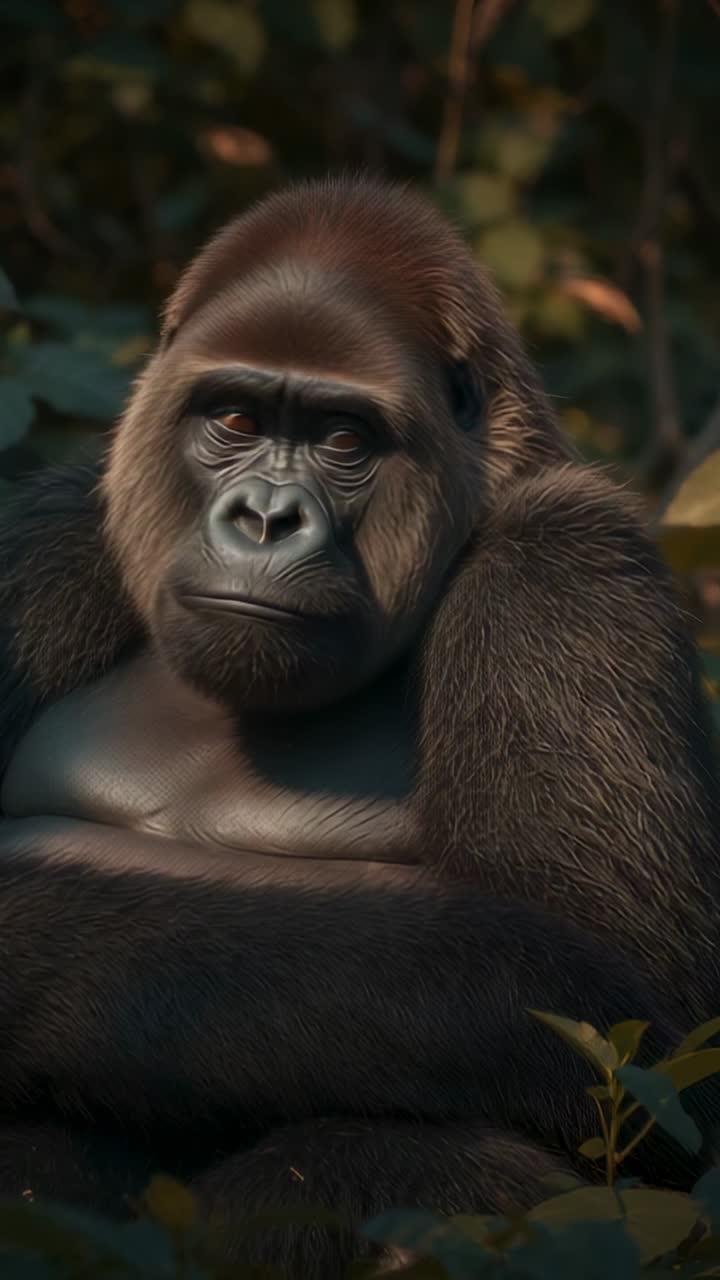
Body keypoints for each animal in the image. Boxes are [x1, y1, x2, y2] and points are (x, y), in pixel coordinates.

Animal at [0, 175, 718, 1278]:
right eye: (235, 417)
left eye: (343, 439)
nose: (263, 519)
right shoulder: (51, 536)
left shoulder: (567, 564)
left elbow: (628, 1030)